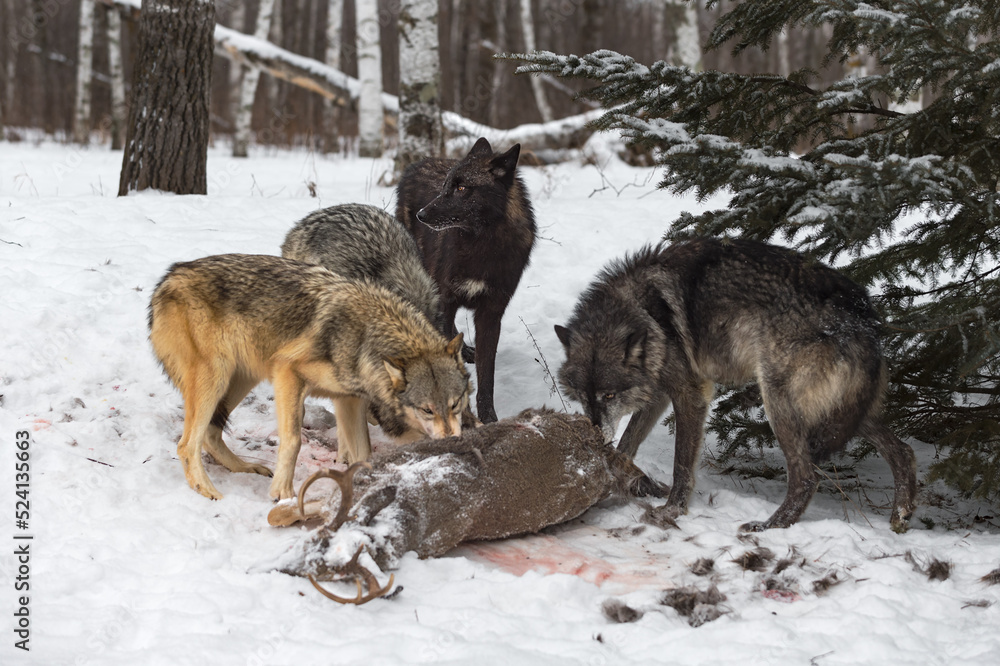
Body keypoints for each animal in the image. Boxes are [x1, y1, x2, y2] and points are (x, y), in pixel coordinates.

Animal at [148, 254, 471, 501]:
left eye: (455, 404)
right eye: (427, 410)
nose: (452, 441)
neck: (365, 337)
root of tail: (169, 276)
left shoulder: (348, 400)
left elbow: (363, 453)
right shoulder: (287, 373)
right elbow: (292, 441)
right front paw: (282, 493)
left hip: (240, 379)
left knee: (210, 435)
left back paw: (245, 468)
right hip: (215, 379)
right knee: (187, 444)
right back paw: (208, 491)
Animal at [396, 137, 537, 423]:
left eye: (462, 188)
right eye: (445, 186)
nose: (421, 215)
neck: (482, 243)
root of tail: (418, 163)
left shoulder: (491, 313)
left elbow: (487, 375)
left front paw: (488, 417)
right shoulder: (446, 300)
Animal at [554, 237, 917, 533]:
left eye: (609, 395)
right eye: (583, 398)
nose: (593, 434)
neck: (643, 313)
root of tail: (863, 317)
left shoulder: (690, 394)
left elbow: (681, 464)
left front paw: (671, 511)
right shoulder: (658, 395)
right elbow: (625, 445)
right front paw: (616, 479)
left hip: (780, 403)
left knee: (806, 476)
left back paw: (769, 527)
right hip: (845, 413)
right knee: (902, 450)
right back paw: (900, 516)